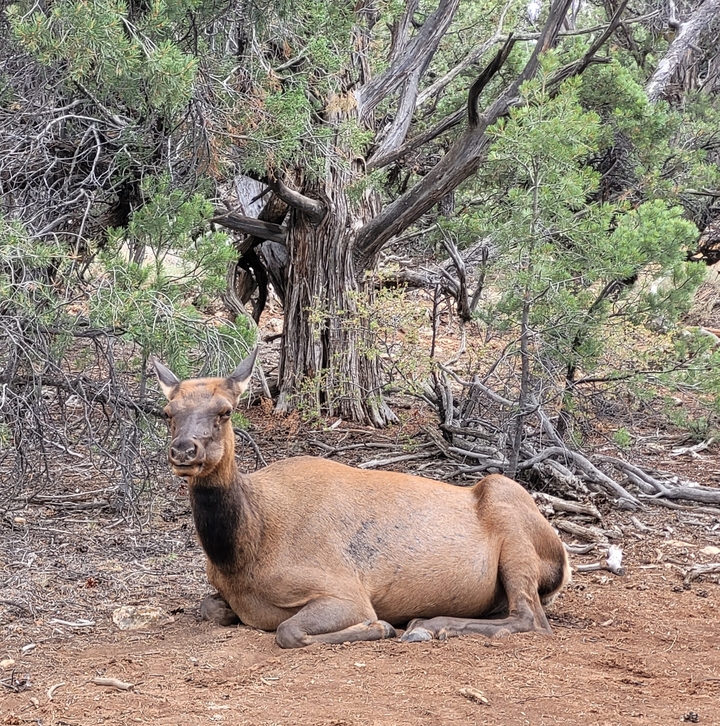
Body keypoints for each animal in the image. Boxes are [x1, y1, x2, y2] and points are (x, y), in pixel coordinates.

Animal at [152, 349, 571, 649]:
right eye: (168, 412)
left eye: (225, 411)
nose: (183, 450)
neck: (241, 554)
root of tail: (563, 561)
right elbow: (209, 607)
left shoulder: (345, 592)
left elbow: (288, 631)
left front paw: (381, 626)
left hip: (510, 518)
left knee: (531, 619)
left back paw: (427, 626)